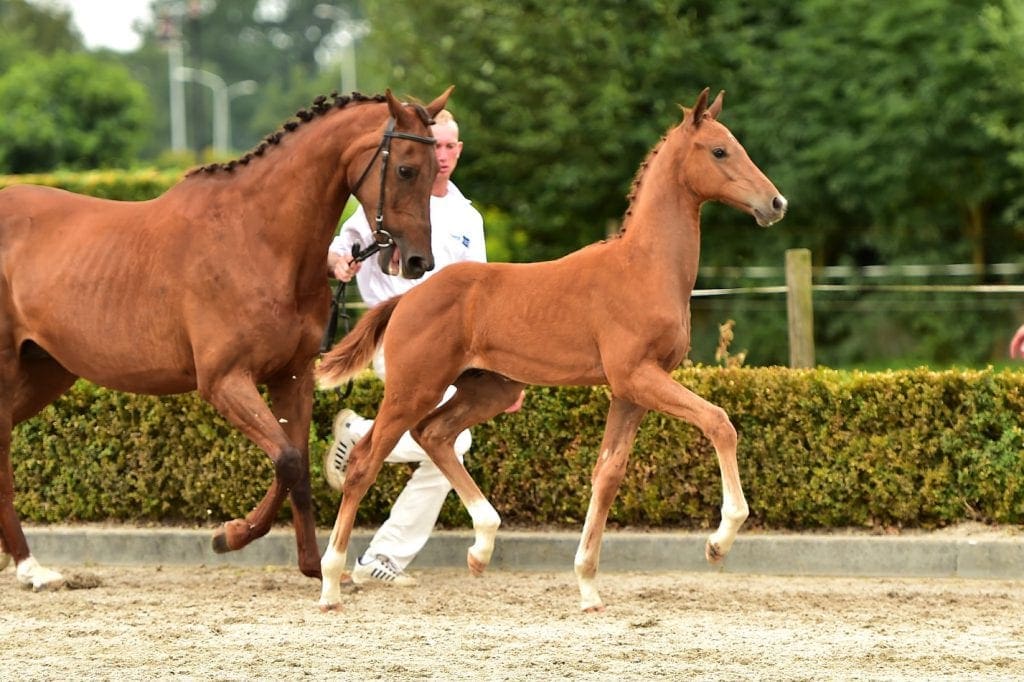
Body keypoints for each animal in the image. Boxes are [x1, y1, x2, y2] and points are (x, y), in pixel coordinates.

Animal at [0, 87, 453, 591]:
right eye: (406, 169)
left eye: (437, 169)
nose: (419, 261)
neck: (256, 239)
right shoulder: (224, 382)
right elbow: (287, 459)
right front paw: (230, 535)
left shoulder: (292, 378)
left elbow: (296, 465)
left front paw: (311, 566)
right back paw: (30, 568)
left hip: (46, 372)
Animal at [315, 88, 787, 612]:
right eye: (720, 150)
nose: (775, 202)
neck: (644, 267)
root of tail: (405, 299)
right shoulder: (637, 376)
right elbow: (719, 422)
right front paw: (719, 542)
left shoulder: (630, 391)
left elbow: (607, 474)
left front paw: (587, 585)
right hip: (413, 388)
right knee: (366, 462)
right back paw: (331, 582)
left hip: (490, 389)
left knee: (435, 435)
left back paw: (482, 545)